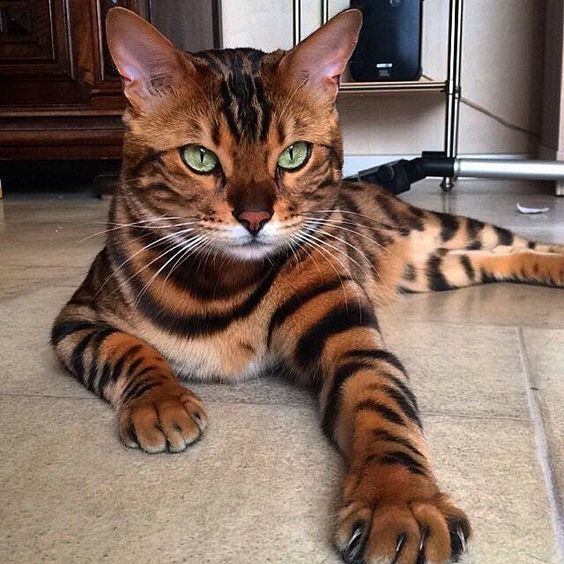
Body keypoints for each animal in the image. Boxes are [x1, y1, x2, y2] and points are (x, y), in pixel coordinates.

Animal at [51, 8, 564, 564]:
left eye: (294, 155)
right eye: (199, 158)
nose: (255, 217)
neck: (221, 282)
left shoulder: (351, 339)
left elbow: (381, 404)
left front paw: (401, 502)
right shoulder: (76, 319)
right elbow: (125, 348)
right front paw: (160, 401)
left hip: (443, 228)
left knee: (519, 241)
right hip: (441, 268)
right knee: (498, 258)